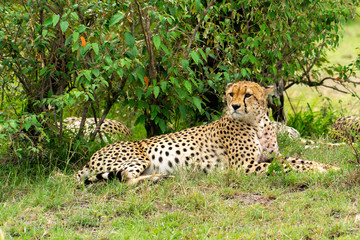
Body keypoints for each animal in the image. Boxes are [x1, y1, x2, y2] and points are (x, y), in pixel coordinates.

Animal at [77, 81, 338, 185]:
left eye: (248, 95)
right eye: (231, 94)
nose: (234, 106)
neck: (257, 123)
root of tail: (89, 158)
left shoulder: (270, 156)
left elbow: (298, 160)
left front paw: (328, 167)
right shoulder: (243, 167)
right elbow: (288, 166)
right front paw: (319, 171)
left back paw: (159, 177)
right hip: (138, 156)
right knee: (125, 179)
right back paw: (157, 178)